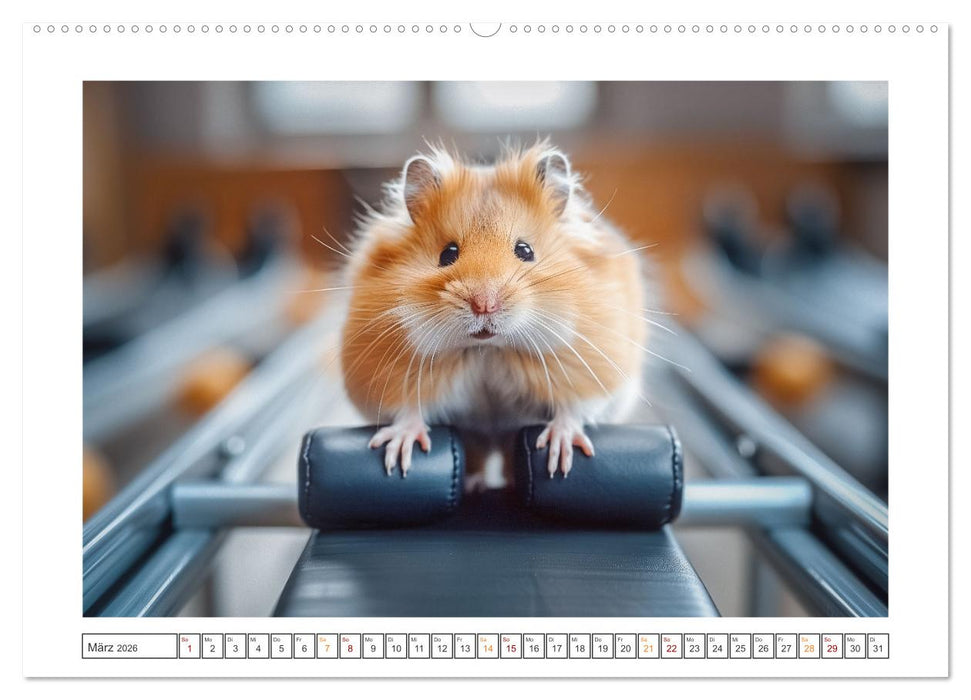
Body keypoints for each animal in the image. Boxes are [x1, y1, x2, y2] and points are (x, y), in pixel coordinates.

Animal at [339, 142, 648, 480]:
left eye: (525, 250)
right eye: (447, 254)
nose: (484, 304)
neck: (488, 350)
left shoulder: (592, 373)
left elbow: (573, 408)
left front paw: (559, 457)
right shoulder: (388, 379)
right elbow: (408, 410)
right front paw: (398, 456)